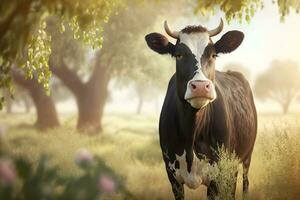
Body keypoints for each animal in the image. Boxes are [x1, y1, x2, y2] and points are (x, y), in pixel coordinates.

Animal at [144, 19, 256, 200]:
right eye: (179, 55)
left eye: (214, 55)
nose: (201, 87)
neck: (192, 132)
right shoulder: (172, 176)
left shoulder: (217, 176)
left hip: (246, 156)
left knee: (244, 182)